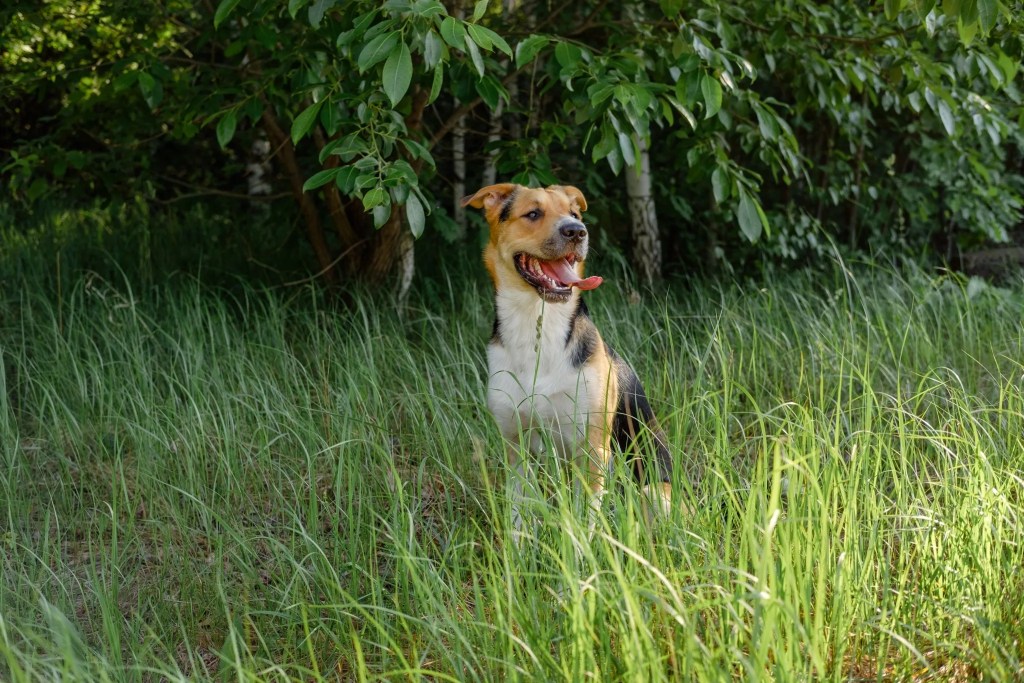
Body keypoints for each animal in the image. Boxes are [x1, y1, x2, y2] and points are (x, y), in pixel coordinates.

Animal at [462, 181, 671, 528]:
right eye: (533, 213)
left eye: (574, 213)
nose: (577, 231)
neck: (537, 324)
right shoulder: (516, 445)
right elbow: (519, 516)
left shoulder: (593, 448)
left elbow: (586, 520)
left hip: (653, 489)